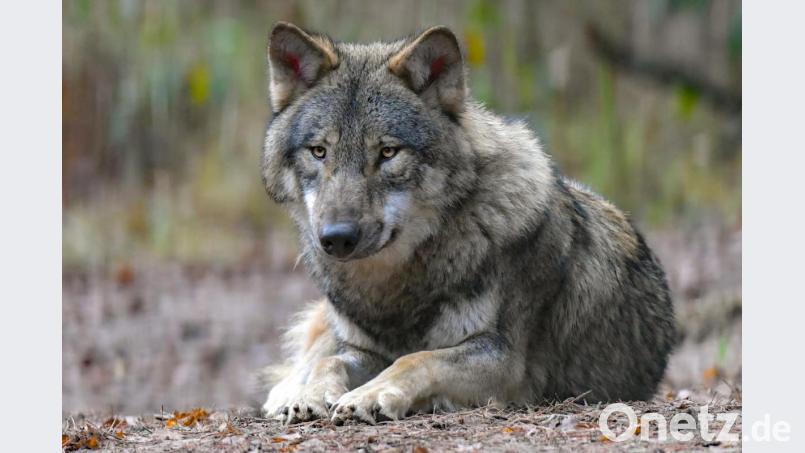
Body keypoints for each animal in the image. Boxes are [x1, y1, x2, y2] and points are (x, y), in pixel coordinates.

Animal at [260, 22, 677, 425]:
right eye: (319, 151)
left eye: (388, 152)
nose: (337, 238)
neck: (395, 285)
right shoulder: (360, 349)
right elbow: (330, 361)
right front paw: (308, 396)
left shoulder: (502, 360)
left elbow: (416, 359)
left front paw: (371, 395)